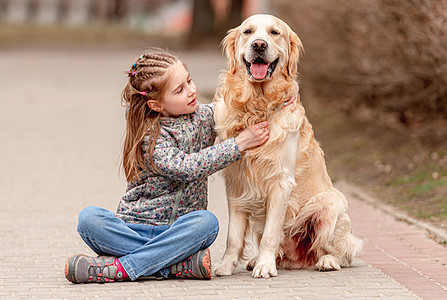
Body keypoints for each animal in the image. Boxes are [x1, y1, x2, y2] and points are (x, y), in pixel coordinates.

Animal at [214, 14, 364, 278]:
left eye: (274, 32)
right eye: (248, 32)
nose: (259, 45)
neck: (257, 105)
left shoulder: (280, 182)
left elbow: (271, 233)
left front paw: (265, 266)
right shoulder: (236, 184)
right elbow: (233, 236)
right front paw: (226, 265)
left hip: (330, 205)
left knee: (343, 252)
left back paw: (327, 261)